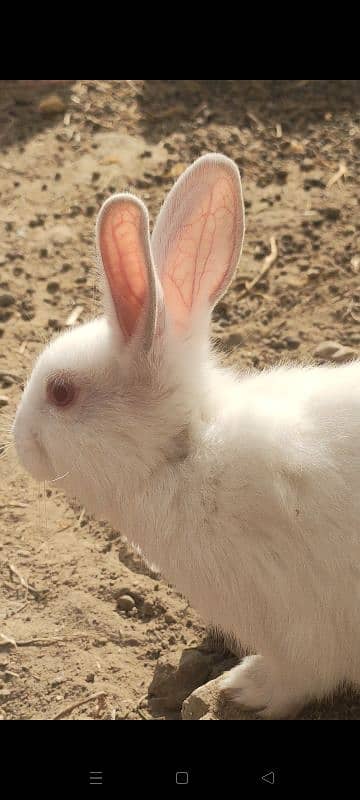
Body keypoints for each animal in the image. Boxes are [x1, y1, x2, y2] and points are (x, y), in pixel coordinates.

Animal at [14, 155, 360, 720]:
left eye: (61, 392)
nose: (19, 442)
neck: (186, 452)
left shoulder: (302, 633)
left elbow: (295, 679)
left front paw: (240, 690)